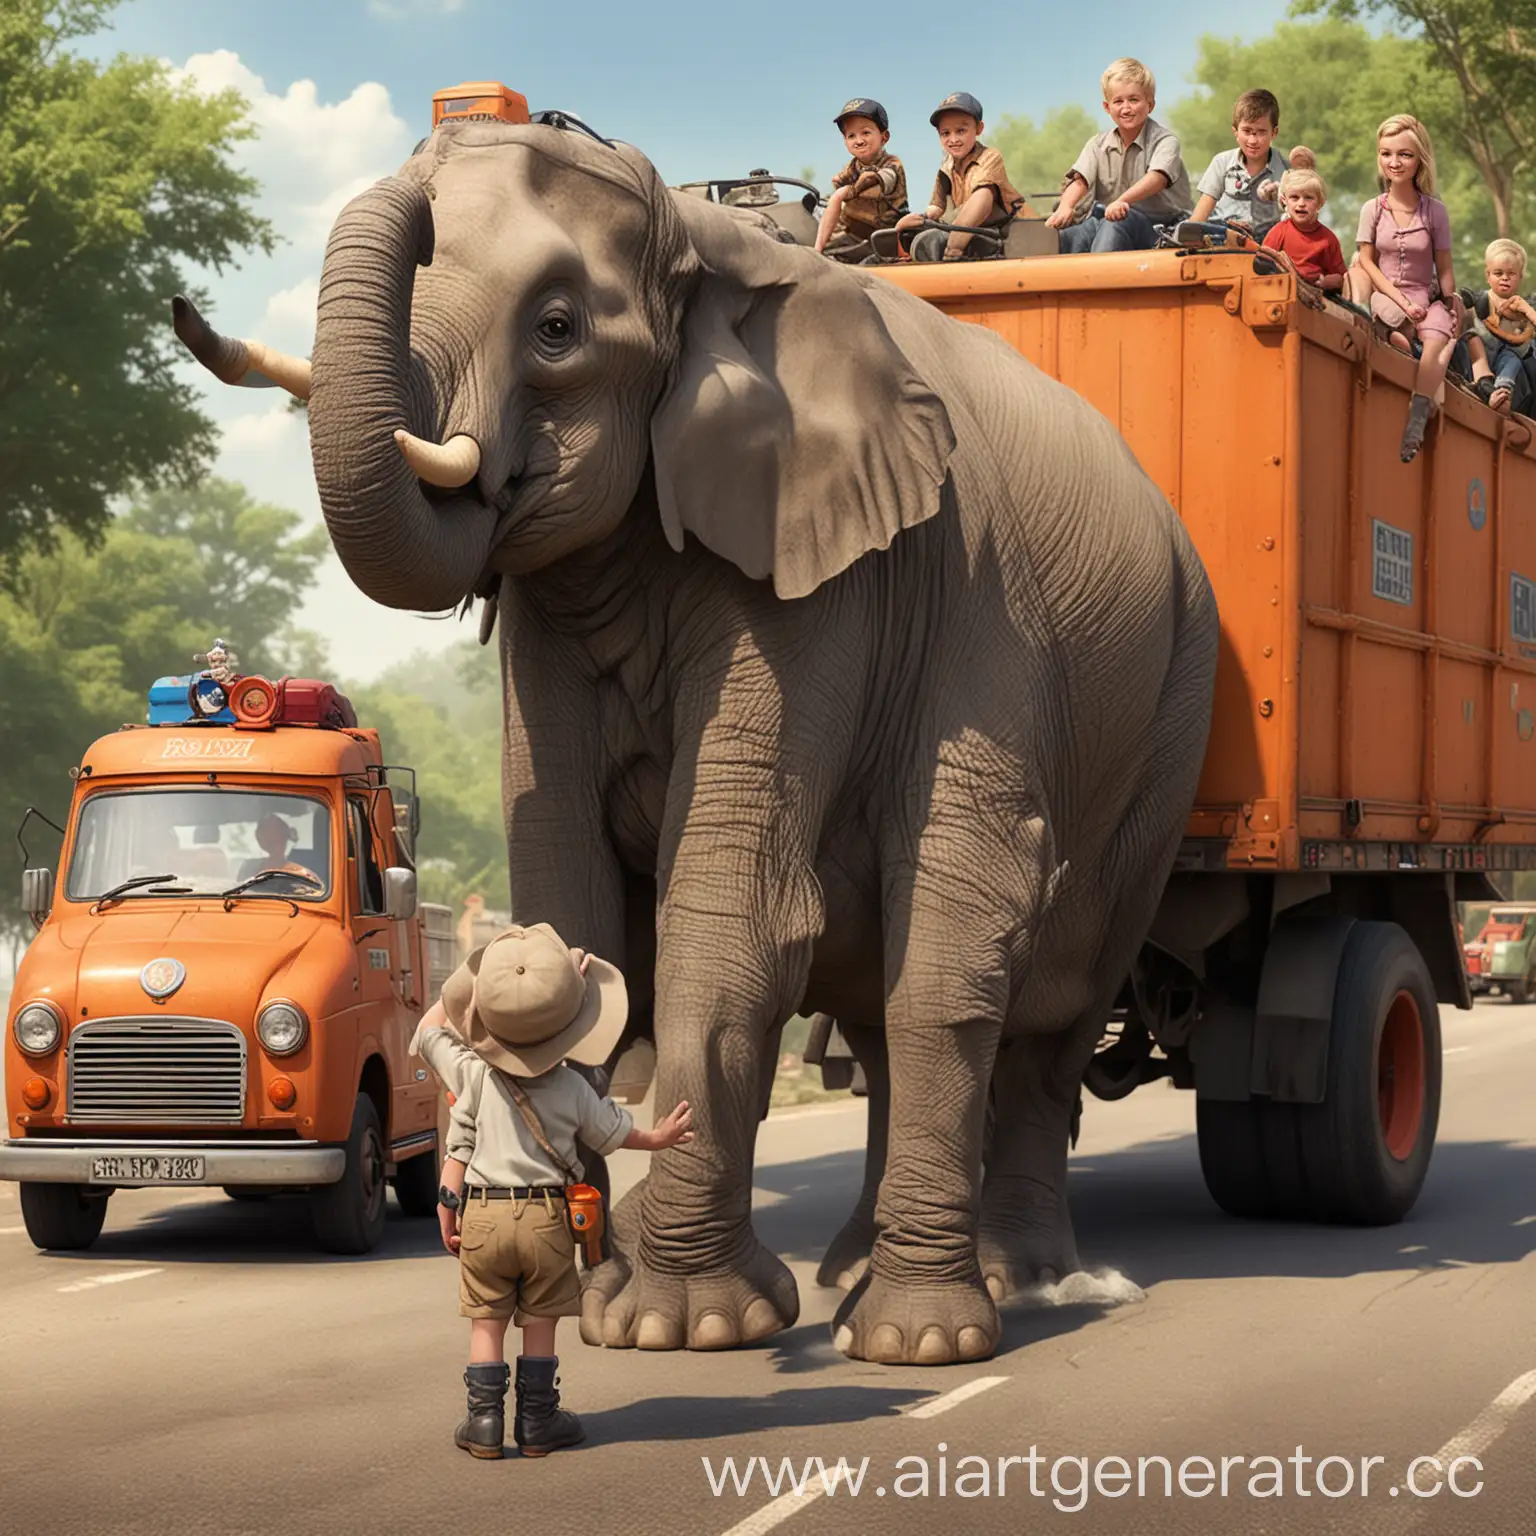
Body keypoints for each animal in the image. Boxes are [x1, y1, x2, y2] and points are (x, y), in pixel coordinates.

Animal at [174, 122, 1216, 1370]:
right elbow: (567, 894)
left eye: (558, 328)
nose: (443, 149)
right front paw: (601, 1286)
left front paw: (681, 1323)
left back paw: (989, 1300)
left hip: (1164, 721)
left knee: (1031, 1000)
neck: (704, 242)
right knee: (892, 1011)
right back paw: (861, 1272)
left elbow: (733, 905)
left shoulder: (819, 574)